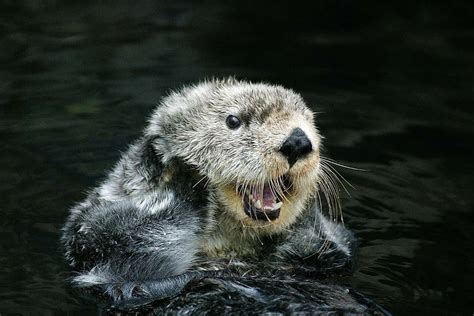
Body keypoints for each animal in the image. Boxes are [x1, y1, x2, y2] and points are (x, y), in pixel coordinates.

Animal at [61, 78, 354, 302]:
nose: (298, 141)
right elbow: (134, 241)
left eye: (309, 122)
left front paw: (309, 216)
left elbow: (334, 250)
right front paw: (186, 173)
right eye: (233, 120)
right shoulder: (95, 238)